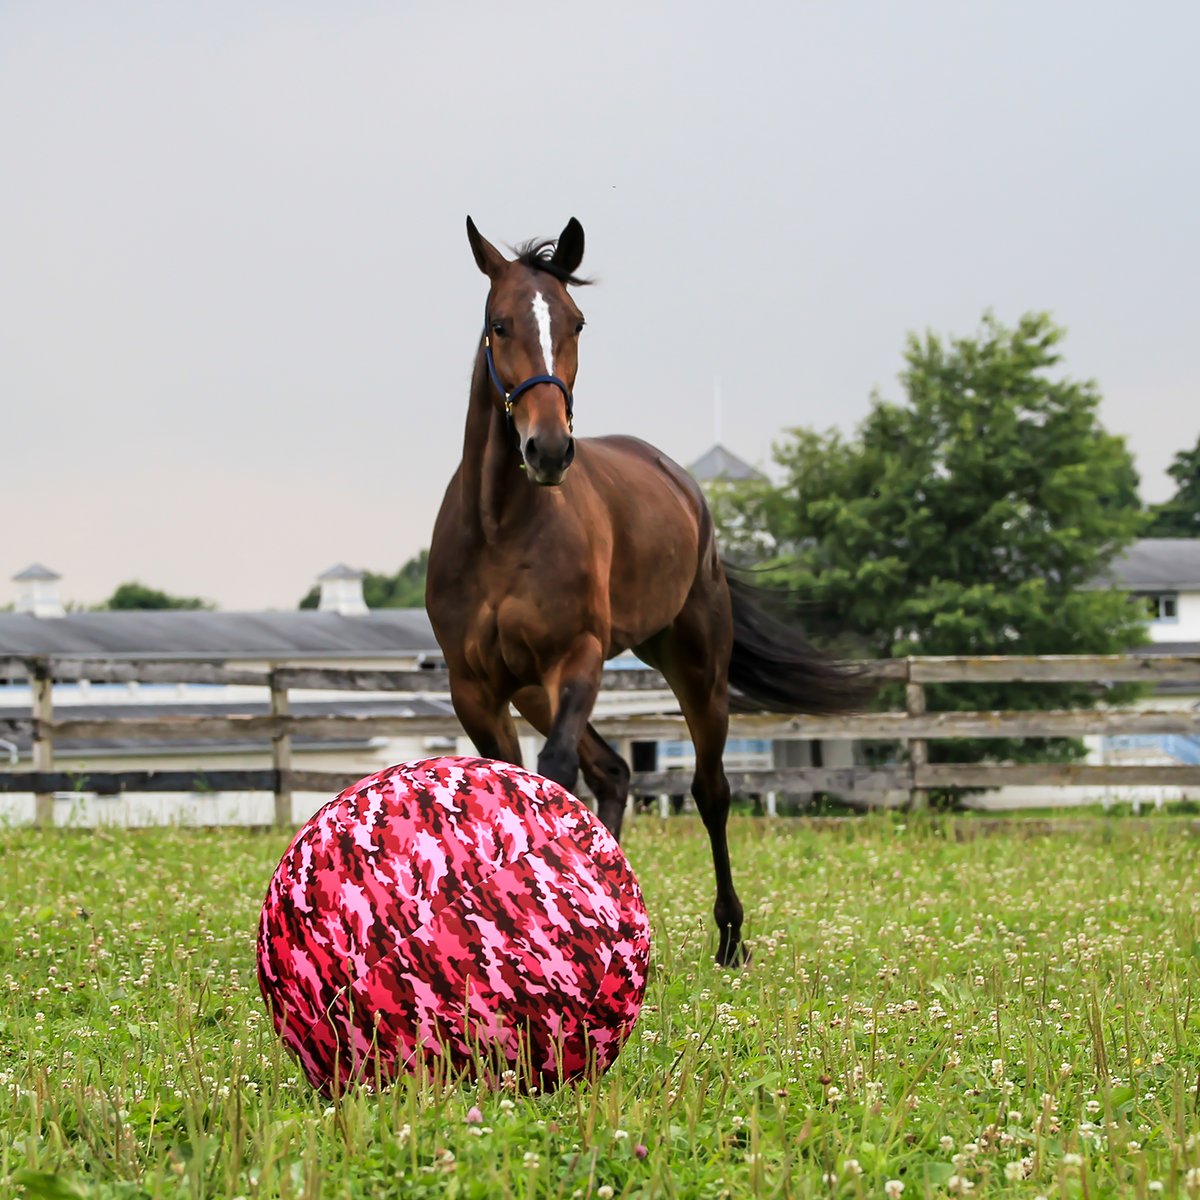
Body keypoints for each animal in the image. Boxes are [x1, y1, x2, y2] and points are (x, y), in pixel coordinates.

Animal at [427, 218, 868, 964]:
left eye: (576, 322)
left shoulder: (575, 659)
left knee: (709, 789)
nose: (549, 449)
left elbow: (553, 775)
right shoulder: (476, 687)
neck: (499, 528)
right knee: (614, 773)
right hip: (533, 690)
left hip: (695, 665)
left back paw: (729, 937)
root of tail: (682, 483)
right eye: (499, 323)